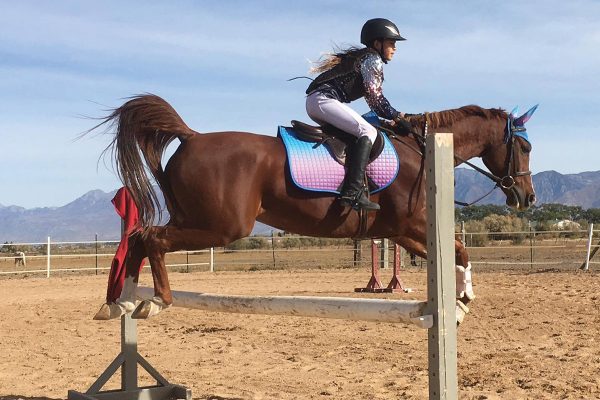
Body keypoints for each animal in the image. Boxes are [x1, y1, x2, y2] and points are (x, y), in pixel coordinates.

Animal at [91, 94, 536, 322]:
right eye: (525, 147)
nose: (527, 198)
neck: (422, 150)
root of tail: (192, 137)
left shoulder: (399, 230)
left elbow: (457, 252)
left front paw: (461, 297)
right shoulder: (412, 224)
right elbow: (460, 248)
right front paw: (463, 298)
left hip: (195, 219)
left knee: (138, 239)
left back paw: (120, 301)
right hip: (221, 228)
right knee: (152, 238)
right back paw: (157, 298)